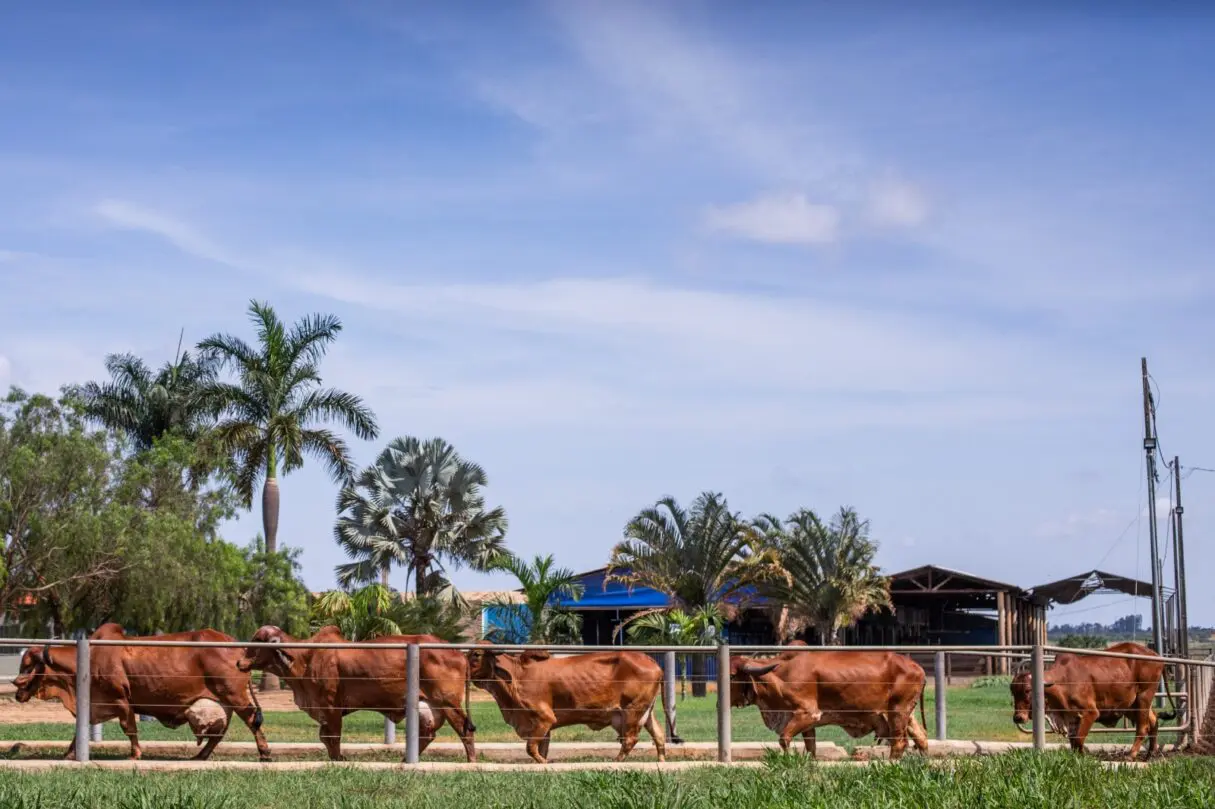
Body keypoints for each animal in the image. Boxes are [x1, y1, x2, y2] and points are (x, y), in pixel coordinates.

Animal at [12, 621, 268, 757]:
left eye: (29, 665)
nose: (16, 689)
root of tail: (235, 645)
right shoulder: (94, 705)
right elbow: (79, 732)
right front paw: (68, 755)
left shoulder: (121, 700)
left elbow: (130, 729)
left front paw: (136, 754)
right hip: (225, 701)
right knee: (220, 732)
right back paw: (200, 757)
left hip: (235, 696)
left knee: (251, 721)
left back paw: (264, 752)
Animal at [234, 619, 476, 757]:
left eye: (258, 640)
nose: (239, 662)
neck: (305, 657)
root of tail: (455, 651)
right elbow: (325, 738)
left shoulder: (331, 708)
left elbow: (332, 738)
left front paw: (339, 760)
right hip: (428, 706)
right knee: (427, 734)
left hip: (448, 703)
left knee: (465, 733)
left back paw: (470, 763)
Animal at [468, 641, 670, 762]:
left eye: (476, 654)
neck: (516, 676)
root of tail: (650, 660)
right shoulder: (543, 727)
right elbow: (541, 748)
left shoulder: (545, 718)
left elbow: (531, 748)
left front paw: (544, 763)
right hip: (646, 712)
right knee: (659, 736)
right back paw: (661, 763)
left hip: (632, 711)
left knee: (629, 740)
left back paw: (616, 762)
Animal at [729, 641, 928, 757]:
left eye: (732, 676)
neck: (779, 676)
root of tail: (917, 667)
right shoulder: (807, 725)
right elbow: (811, 749)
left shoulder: (808, 714)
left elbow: (784, 739)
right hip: (906, 714)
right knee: (921, 738)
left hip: (897, 711)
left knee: (899, 743)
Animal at [1006, 636, 1176, 757]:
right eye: (1013, 691)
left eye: (1028, 690)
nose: (1018, 718)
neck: (1062, 682)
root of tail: (1157, 656)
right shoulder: (1071, 716)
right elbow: (1074, 740)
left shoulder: (1090, 712)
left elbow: (1079, 739)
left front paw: (1084, 754)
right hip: (1132, 704)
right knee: (1153, 721)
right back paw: (1151, 753)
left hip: (1143, 697)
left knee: (1143, 727)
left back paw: (1132, 754)